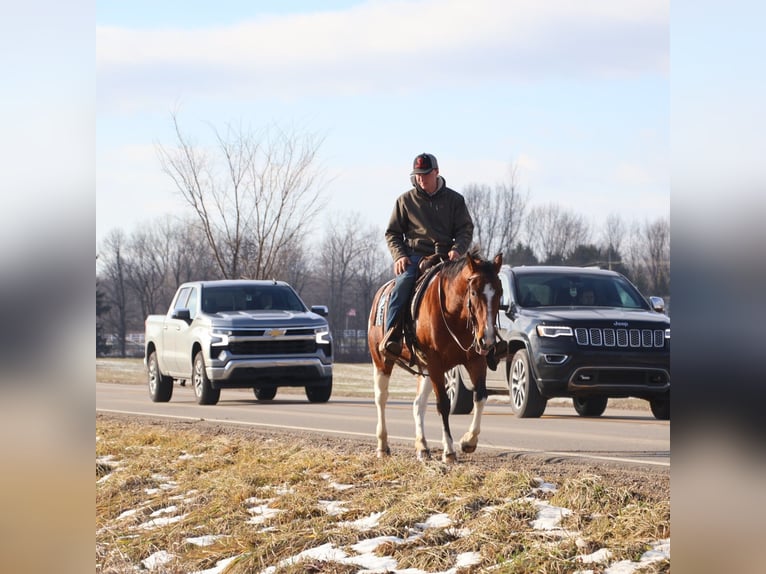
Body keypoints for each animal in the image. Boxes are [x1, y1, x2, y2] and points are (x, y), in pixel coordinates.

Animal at [367, 251, 503, 463]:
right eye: (474, 293)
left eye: (500, 292)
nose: (487, 340)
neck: (455, 316)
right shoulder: (436, 363)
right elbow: (444, 405)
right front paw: (449, 451)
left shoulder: (475, 361)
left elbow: (480, 397)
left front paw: (468, 441)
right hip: (382, 361)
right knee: (381, 398)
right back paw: (383, 446)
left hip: (425, 369)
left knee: (418, 404)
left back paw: (423, 447)